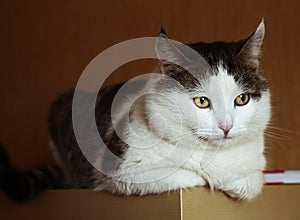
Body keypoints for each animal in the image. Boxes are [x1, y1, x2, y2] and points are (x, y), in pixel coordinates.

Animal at [0, 19, 270, 202]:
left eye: (242, 99)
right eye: (202, 101)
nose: (226, 126)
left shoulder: (256, 165)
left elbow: (254, 181)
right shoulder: (124, 173)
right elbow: (190, 175)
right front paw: (219, 179)